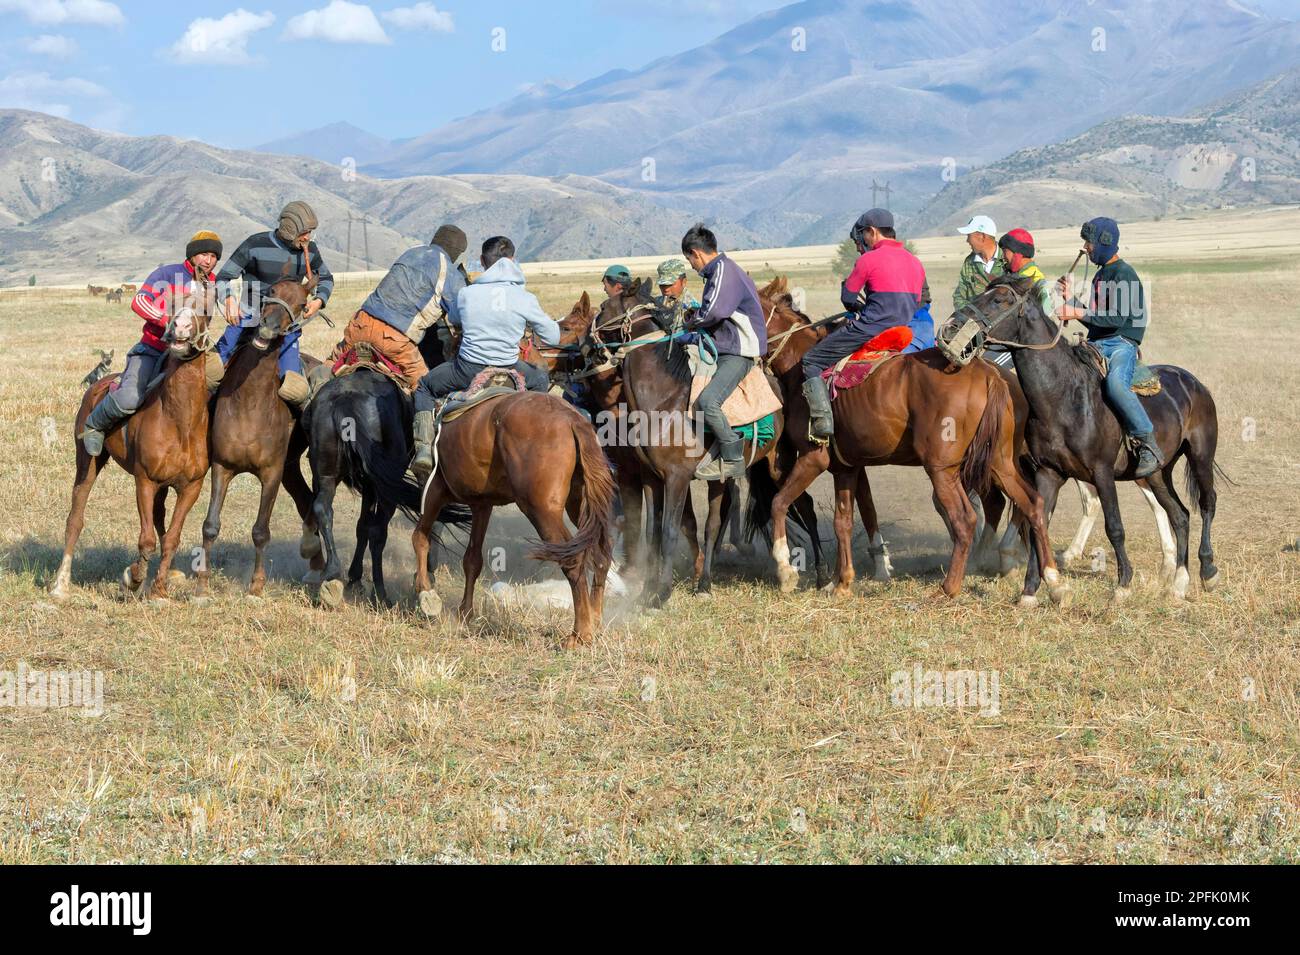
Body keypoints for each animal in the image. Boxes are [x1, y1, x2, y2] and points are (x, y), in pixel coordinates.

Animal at [48, 283, 218, 600]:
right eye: (172, 303)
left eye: (206, 309)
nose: (179, 327)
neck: (179, 420)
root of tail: (99, 385)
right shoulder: (145, 481)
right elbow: (147, 538)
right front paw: (134, 578)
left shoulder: (191, 487)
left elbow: (171, 537)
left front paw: (160, 590)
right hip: (87, 463)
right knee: (75, 518)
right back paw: (60, 584)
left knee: (160, 519)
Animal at [196, 272, 323, 597]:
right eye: (272, 290)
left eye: (302, 303)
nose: (268, 326)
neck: (250, 403)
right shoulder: (222, 467)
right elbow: (210, 524)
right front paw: (202, 582)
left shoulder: (271, 474)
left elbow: (261, 531)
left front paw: (256, 584)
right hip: (290, 468)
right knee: (306, 501)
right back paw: (315, 564)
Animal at [416, 389, 618, 649]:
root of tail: (573, 420)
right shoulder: (482, 504)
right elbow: (472, 560)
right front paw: (465, 614)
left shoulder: (436, 488)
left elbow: (421, 538)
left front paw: (426, 595)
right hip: (581, 504)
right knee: (602, 553)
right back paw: (595, 619)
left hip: (541, 510)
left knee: (572, 558)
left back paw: (580, 633)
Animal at [941, 274, 1222, 605]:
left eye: (999, 299)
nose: (950, 328)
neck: (1064, 397)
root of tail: (1193, 382)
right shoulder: (1048, 473)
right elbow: (1038, 522)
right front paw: (1032, 591)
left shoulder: (1101, 473)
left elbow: (1114, 527)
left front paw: (1122, 586)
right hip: (1156, 472)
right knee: (1179, 515)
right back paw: (1178, 582)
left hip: (1200, 456)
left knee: (1206, 503)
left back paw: (1208, 571)